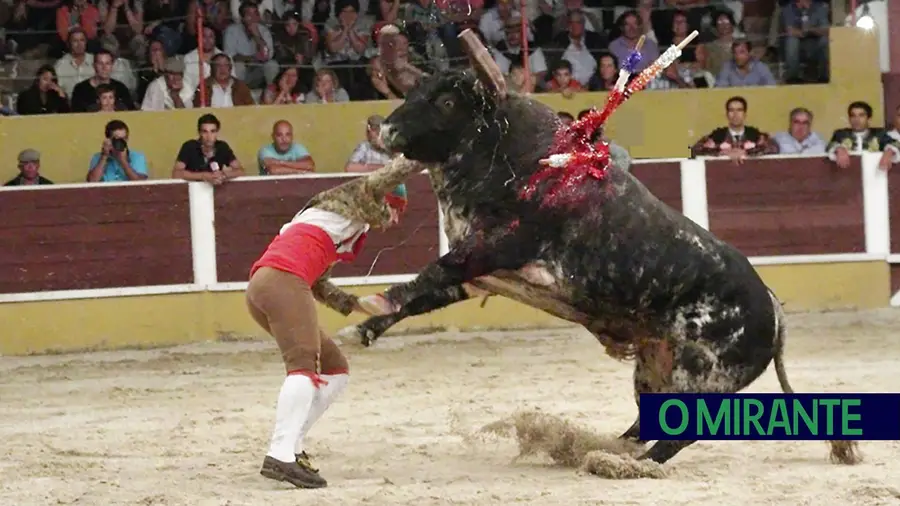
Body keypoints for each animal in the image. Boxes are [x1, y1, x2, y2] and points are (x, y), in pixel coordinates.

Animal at [342, 69, 860, 464]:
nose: (381, 128)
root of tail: (771, 304)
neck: (515, 154)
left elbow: (431, 273)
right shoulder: (481, 271)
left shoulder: (494, 248)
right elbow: (426, 293)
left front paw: (371, 301)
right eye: (415, 90)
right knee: (651, 419)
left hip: (703, 375)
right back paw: (612, 448)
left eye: (447, 101)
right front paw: (360, 330)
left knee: (684, 431)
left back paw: (631, 465)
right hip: (653, 369)